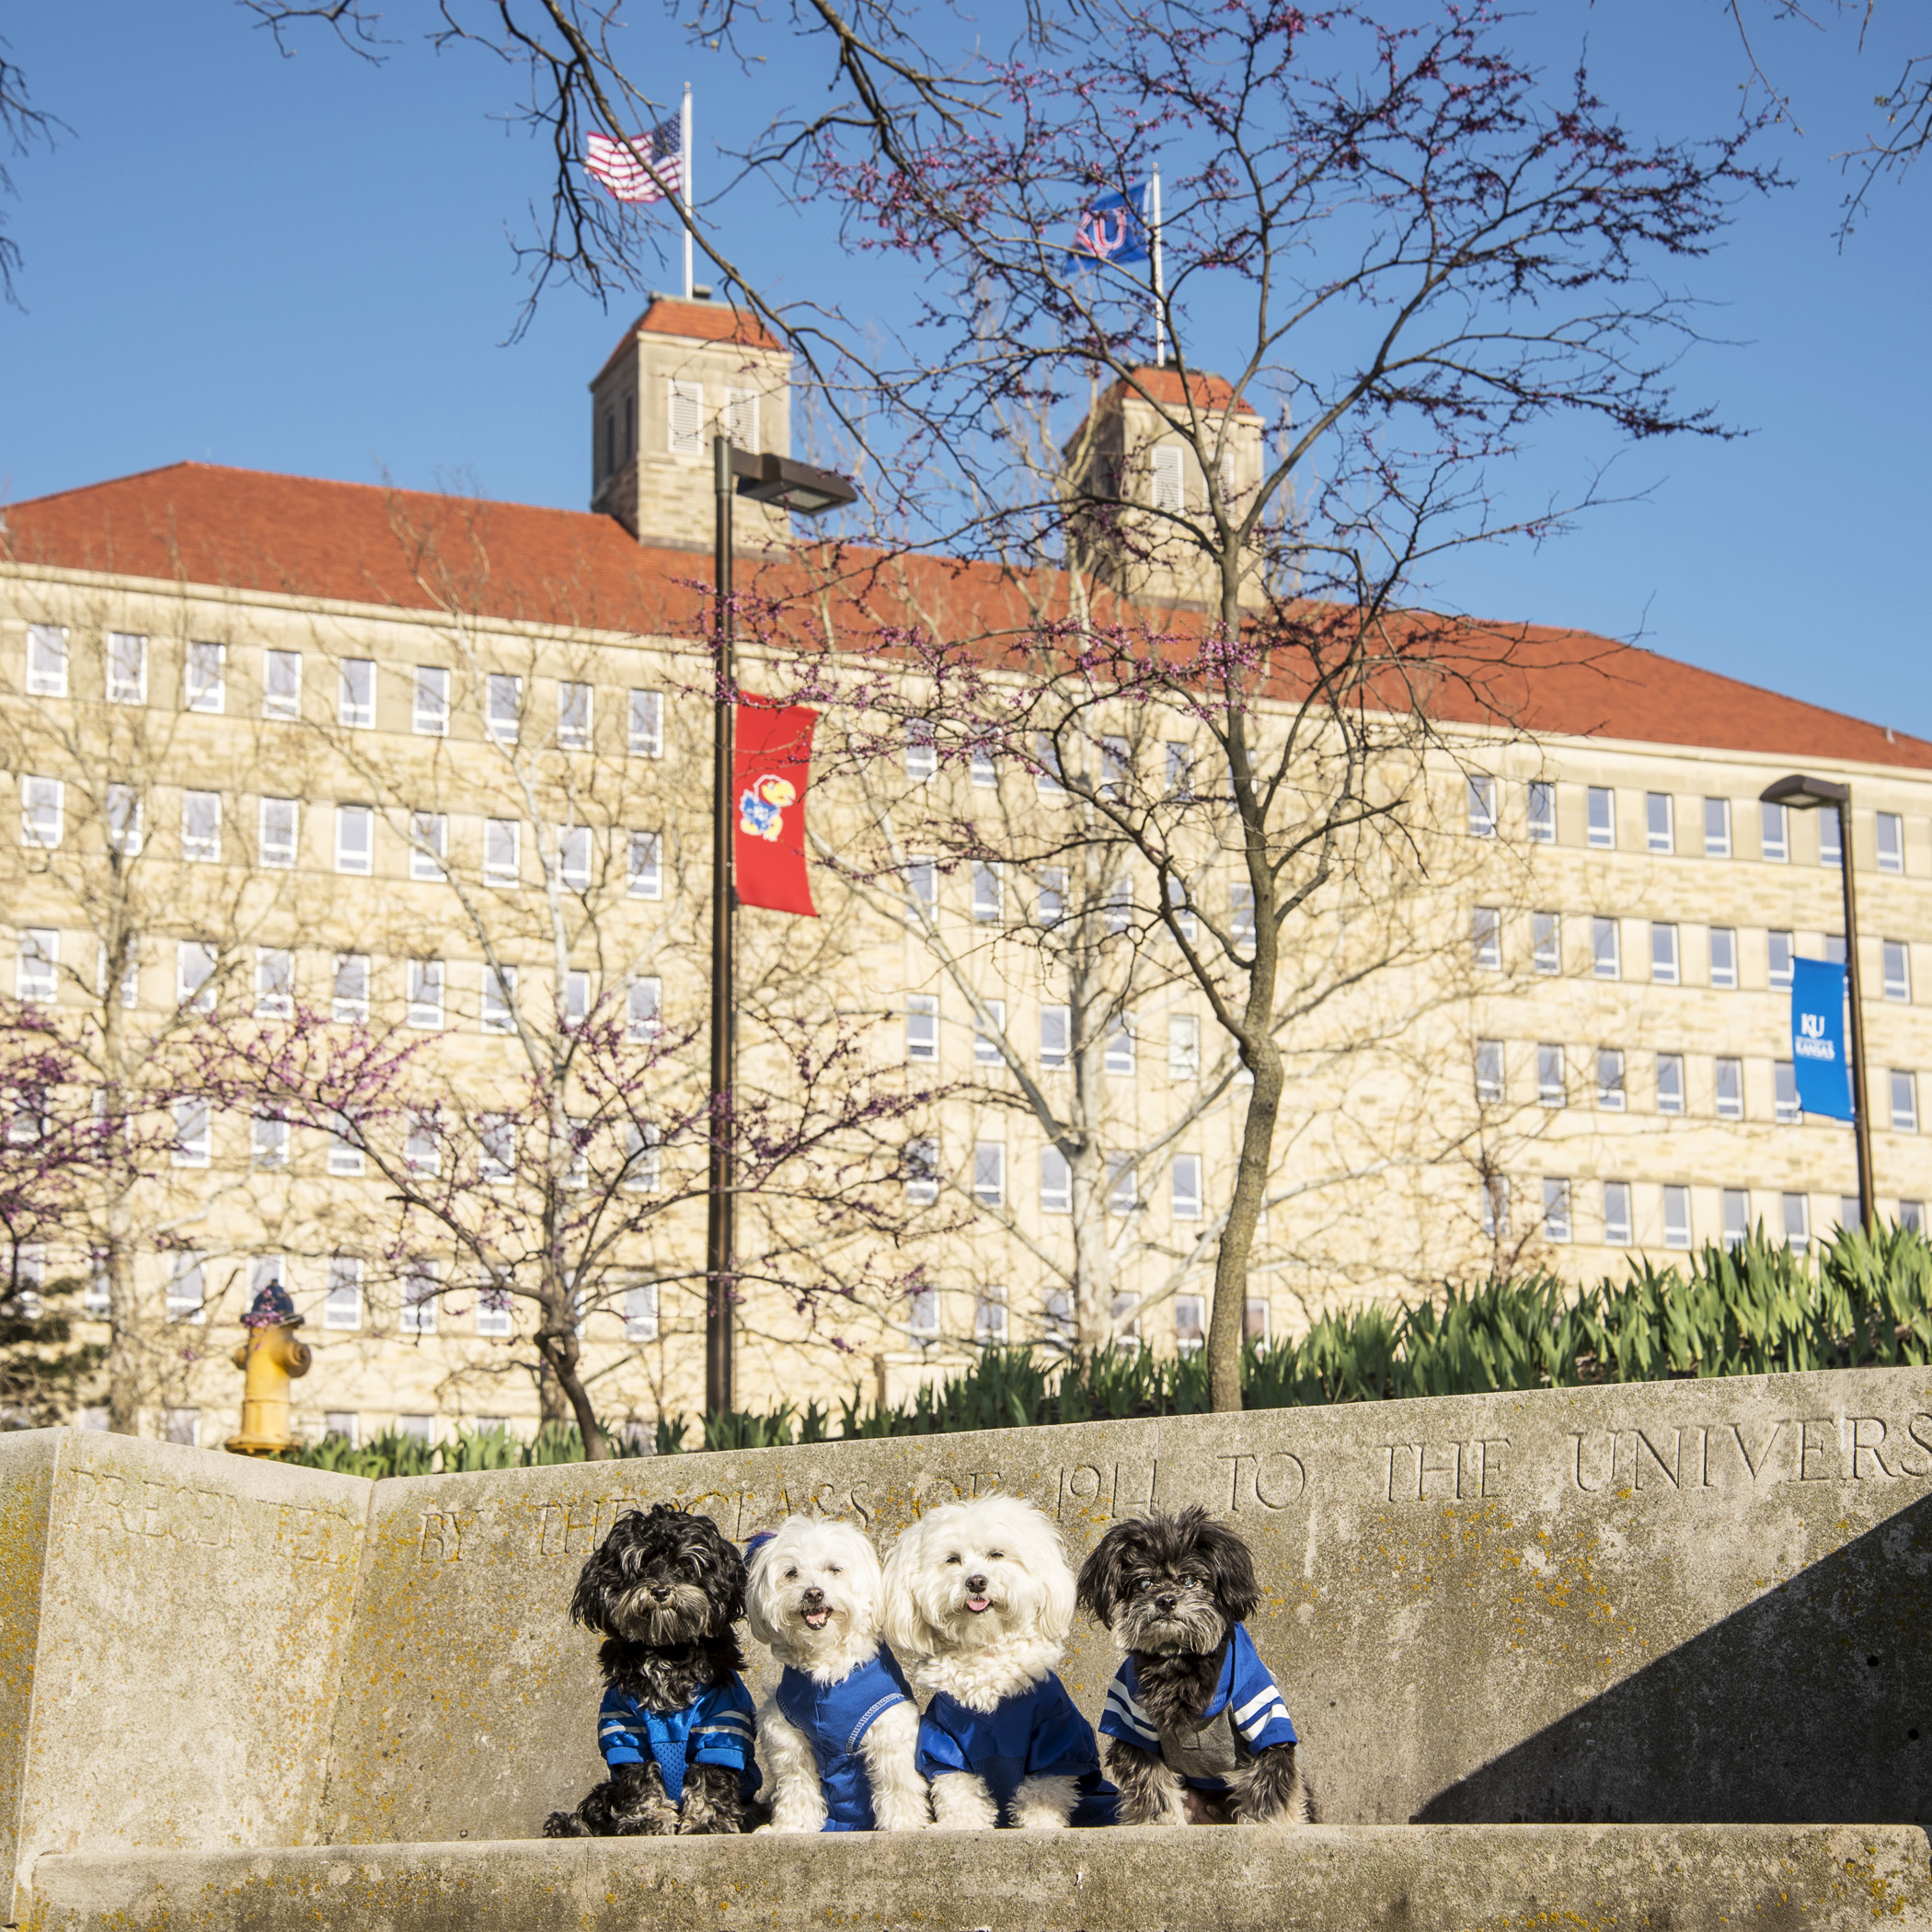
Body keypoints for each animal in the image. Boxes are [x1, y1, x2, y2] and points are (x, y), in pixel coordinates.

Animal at [548, 1499, 765, 1831]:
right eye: (641, 1566)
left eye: (686, 1565)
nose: (661, 1590)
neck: (667, 1651)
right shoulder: (625, 1729)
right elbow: (640, 1780)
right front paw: (646, 1820)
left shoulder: (720, 1725)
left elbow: (710, 1779)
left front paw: (706, 1822)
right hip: (605, 1790)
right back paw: (571, 1825)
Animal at [745, 1514, 926, 1831]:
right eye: (791, 1573)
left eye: (834, 1569)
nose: (813, 1592)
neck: (826, 1664)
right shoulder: (787, 1734)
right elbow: (797, 1785)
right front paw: (791, 1827)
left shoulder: (890, 1727)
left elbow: (897, 1784)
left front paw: (904, 1826)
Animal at [880, 1491, 1121, 1823]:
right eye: (952, 1559)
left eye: (996, 1554)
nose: (976, 1581)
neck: (986, 1653)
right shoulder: (944, 1744)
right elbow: (959, 1795)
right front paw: (962, 1826)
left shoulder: (1055, 1736)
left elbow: (1043, 1793)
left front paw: (1041, 1825)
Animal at [1074, 1506, 1313, 1823]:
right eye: (1144, 1583)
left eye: (1189, 1580)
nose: (1166, 1600)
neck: (1179, 1663)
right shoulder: (1131, 1723)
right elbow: (1151, 1786)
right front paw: (1158, 1822)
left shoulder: (1264, 1719)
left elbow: (1270, 1786)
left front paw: (1267, 1823)